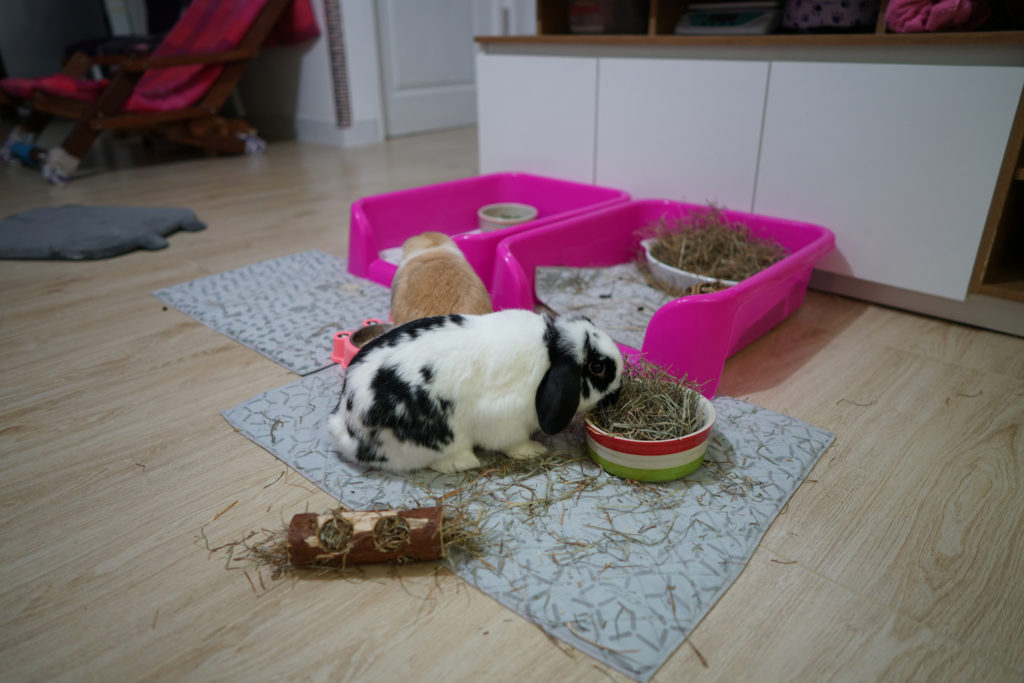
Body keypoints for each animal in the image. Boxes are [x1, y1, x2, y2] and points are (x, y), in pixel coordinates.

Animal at [325, 311, 622, 475]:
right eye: (597, 368)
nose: (618, 395)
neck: (550, 350)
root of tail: (345, 426)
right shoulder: (506, 421)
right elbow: (513, 443)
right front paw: (533, 451)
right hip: (437, 439)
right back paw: (463, 462)